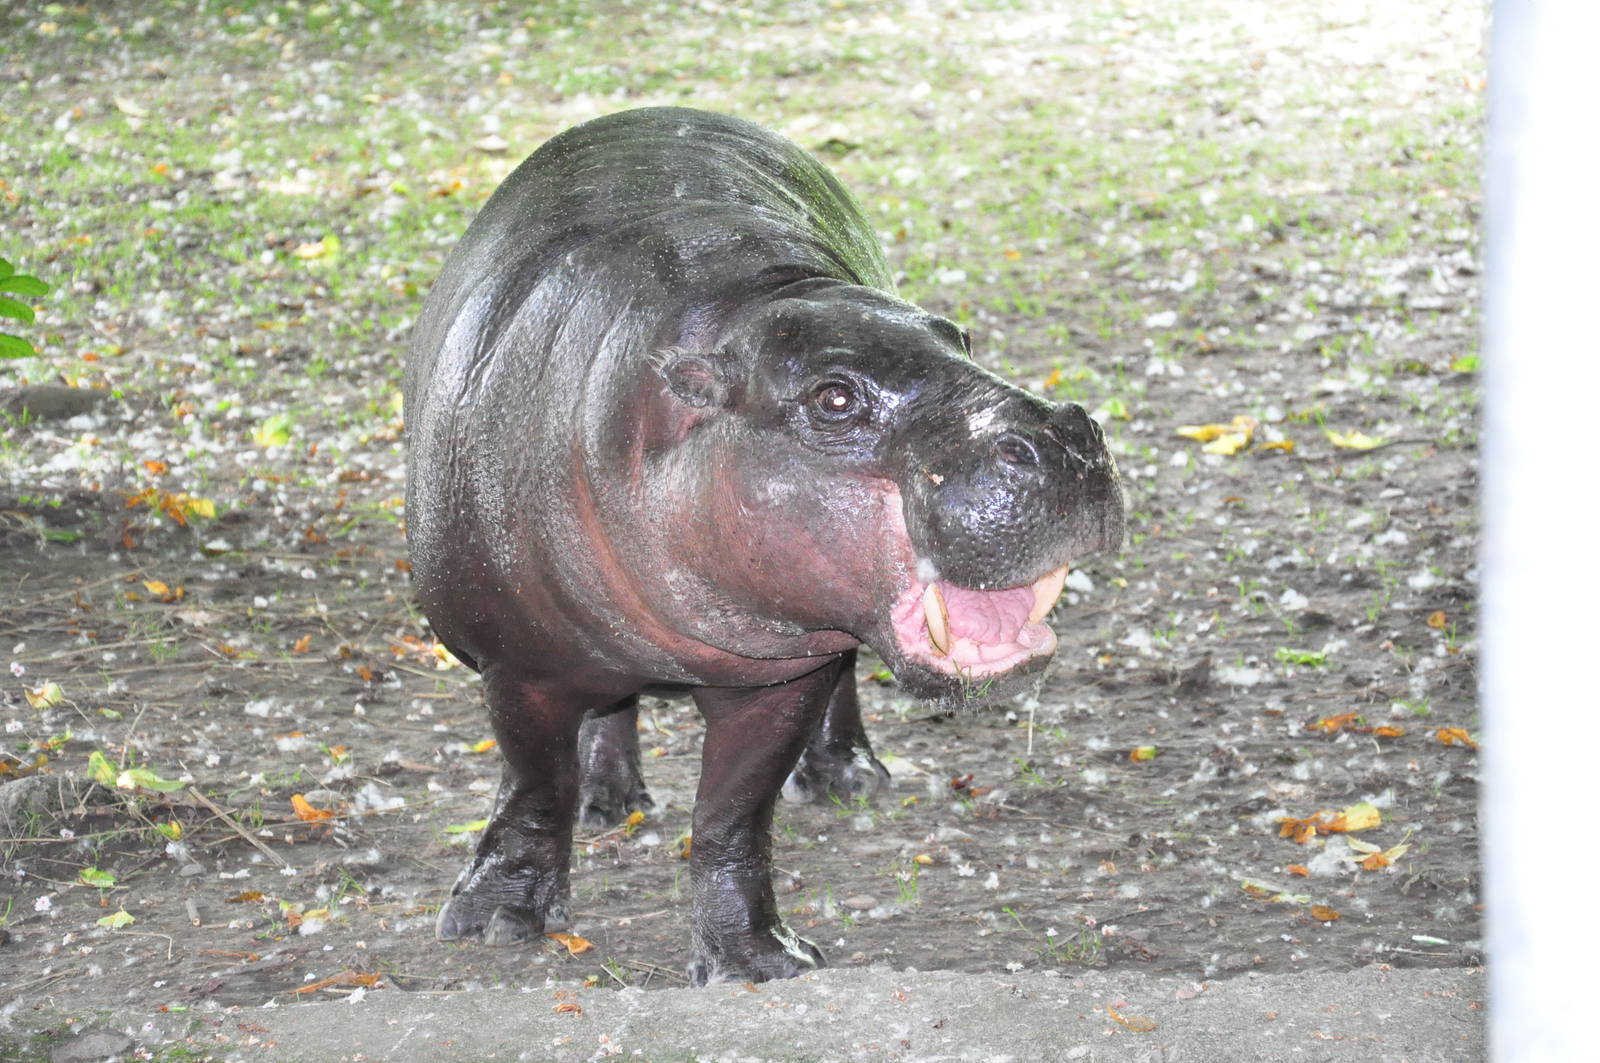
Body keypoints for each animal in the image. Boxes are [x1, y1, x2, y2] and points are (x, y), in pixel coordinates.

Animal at [404, 107, 1123, 984]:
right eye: (834, 397)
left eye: (957, 334)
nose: (1064, 435)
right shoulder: (518, 664)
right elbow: (536, 785)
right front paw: (495, 922)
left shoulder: (781, 677)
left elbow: (732, 816)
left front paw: (759, 958)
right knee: (606, 711)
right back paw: (611, 803)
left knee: (836, 682)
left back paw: (850, 780)